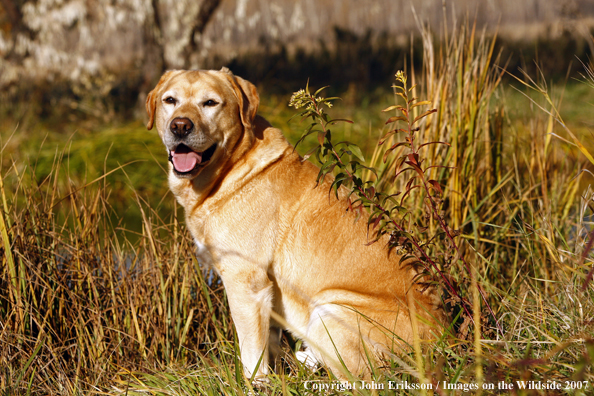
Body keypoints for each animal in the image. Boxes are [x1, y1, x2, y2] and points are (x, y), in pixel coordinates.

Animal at [146, 67, 442, 380]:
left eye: (210, 103)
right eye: (170, 100)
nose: (180, 126)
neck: (230, 169)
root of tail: (443, 340)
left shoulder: (245, 281)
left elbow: (251, 355)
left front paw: (254, 383)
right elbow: (268, 344)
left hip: (331, 309)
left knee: (359, 379)